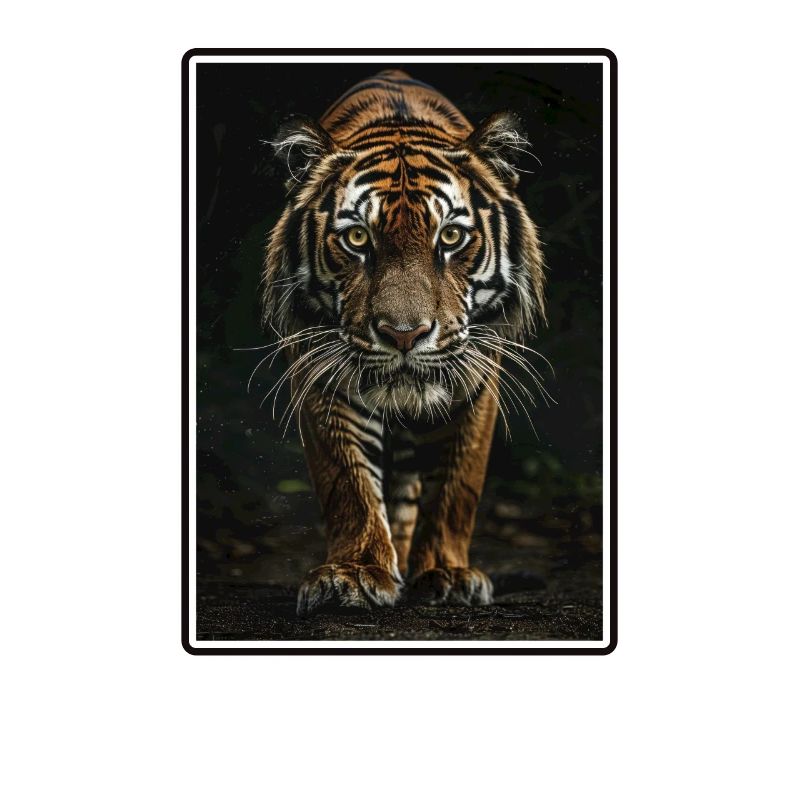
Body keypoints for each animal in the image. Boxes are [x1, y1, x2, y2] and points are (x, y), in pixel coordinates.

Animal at [261, 69, 546, 617]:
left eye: (451, 237)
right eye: (356, 239)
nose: (403, 334)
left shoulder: (478, 373)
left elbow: (456, 484)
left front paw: (447, 574)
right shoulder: (321, 368)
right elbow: (347, 479)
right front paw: (353, 574)